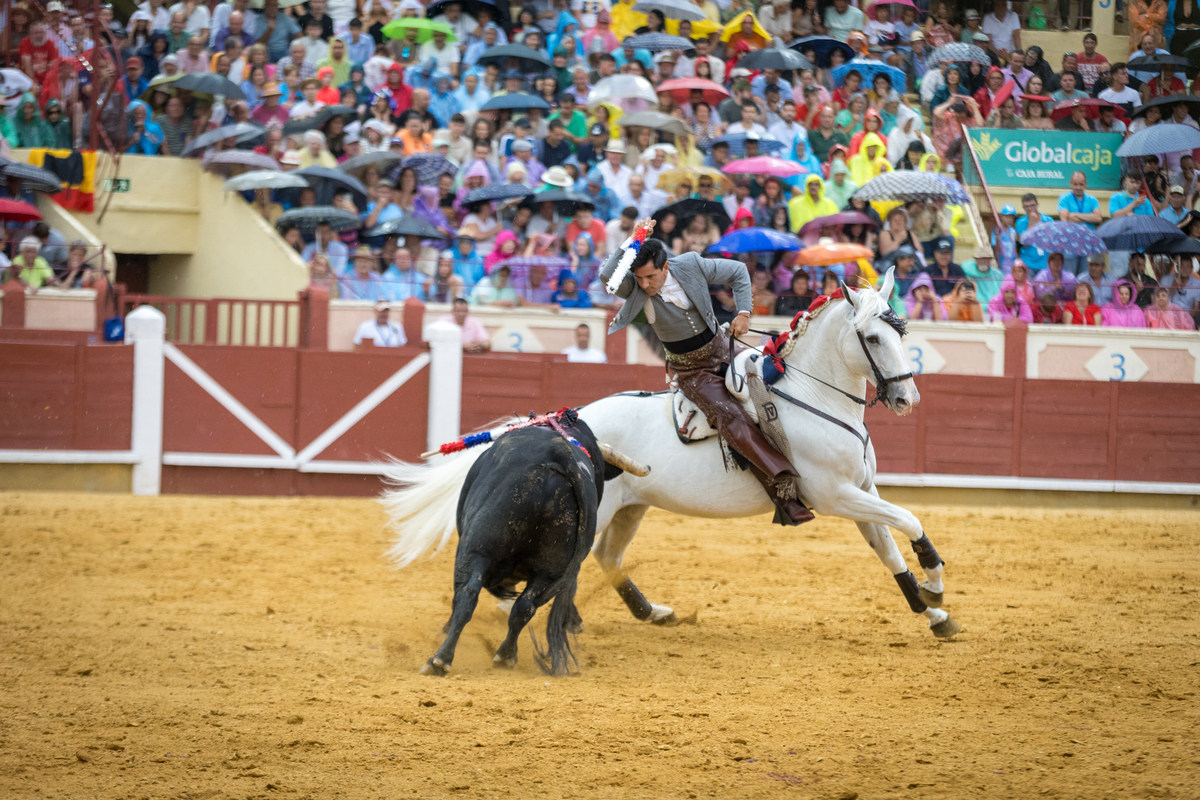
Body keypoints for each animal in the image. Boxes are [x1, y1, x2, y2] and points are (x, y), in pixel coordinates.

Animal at [388, 272, 960, 642]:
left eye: (902, 331)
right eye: (872, 337)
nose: (907, 400)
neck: (811, 394)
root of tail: (566, 420)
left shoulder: (861, 492)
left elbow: (888, 547)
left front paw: (931, 613)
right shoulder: (835, 495)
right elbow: (909, 521)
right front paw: (935, 585)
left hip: (630, 507)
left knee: (608, 558)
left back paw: (651, 613)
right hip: (597, 511)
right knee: (566, 565)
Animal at [422, 422, 609, 681]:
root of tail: (558, 454)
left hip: (477, 549)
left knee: (467, 594)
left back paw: (440, 659)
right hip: (551, 569)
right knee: (525, 606)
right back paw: (506, 656)